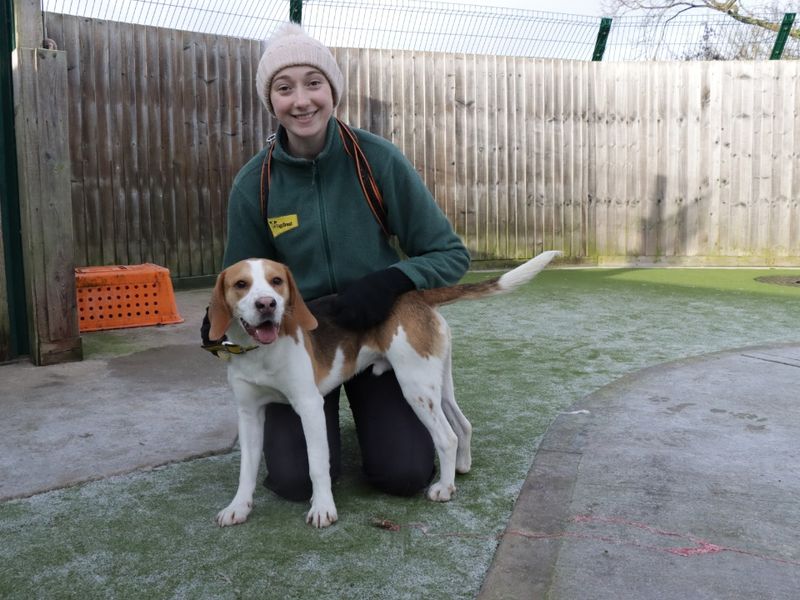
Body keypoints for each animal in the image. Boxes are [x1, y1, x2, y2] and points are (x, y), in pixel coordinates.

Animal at [206, 251, 556, 528]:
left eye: (276, 281)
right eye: (241, 285)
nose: (267, 304)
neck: (260, 352)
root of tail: (417, 296)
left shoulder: (309, 406)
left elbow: (317, 464)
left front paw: (323, 508)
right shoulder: (249, 414)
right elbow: (247, 468)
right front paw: (239, 507)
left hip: (415, 386)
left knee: (447, 437)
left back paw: (443, 488)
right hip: (437, 384)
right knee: (463, 424)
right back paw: (460, 468)